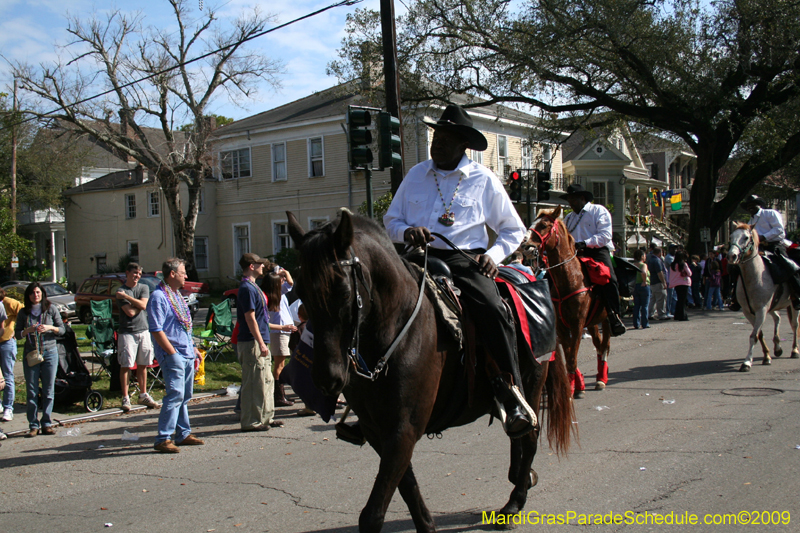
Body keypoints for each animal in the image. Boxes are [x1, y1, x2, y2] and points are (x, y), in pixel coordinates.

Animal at [288, 210, 576, 528]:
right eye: (300, 292)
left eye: (342, 290)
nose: (326, 378)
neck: (393, 329)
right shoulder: (380, 432)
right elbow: (409, 489)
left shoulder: (403, 429)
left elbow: (374, 513)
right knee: (520, 442)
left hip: (533, 383)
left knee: (530, 438)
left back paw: (515, 501)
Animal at [524, 206, 612, 396]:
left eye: (544, 225)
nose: (525, 245)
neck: (570, 279)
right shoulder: (562, 326)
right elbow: (569, 353)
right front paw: (577, 385)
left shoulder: (577, 324)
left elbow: (571, 357)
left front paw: (573, 389)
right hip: (593, 322)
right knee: (598, 344)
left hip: (607, 319)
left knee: (605, 346)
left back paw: (602, 379)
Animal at [728, 223, 796, 370]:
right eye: (731, 236)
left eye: (746, 237)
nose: (731, 256)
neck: (753, 277)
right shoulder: (749, 312)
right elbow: (759, 334)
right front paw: (767, 356)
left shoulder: (762, 310)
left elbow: (753, 336)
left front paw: (747, 362)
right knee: (778, 318)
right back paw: (777, 347)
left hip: (794, 305)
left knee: (795, 325)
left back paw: (795, 350)